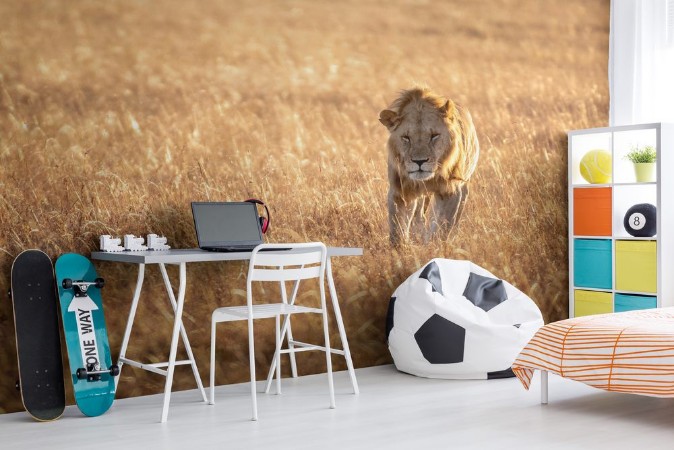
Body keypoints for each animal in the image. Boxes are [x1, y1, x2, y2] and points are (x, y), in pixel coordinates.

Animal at [378, 86, 478, 244]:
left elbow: (442, 227)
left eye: (434, 136)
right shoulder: (400, 191)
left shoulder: (450, 190)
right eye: (406, 137)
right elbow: (397, 230)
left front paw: (434, 245)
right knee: (419, 215)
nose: (419, 161)